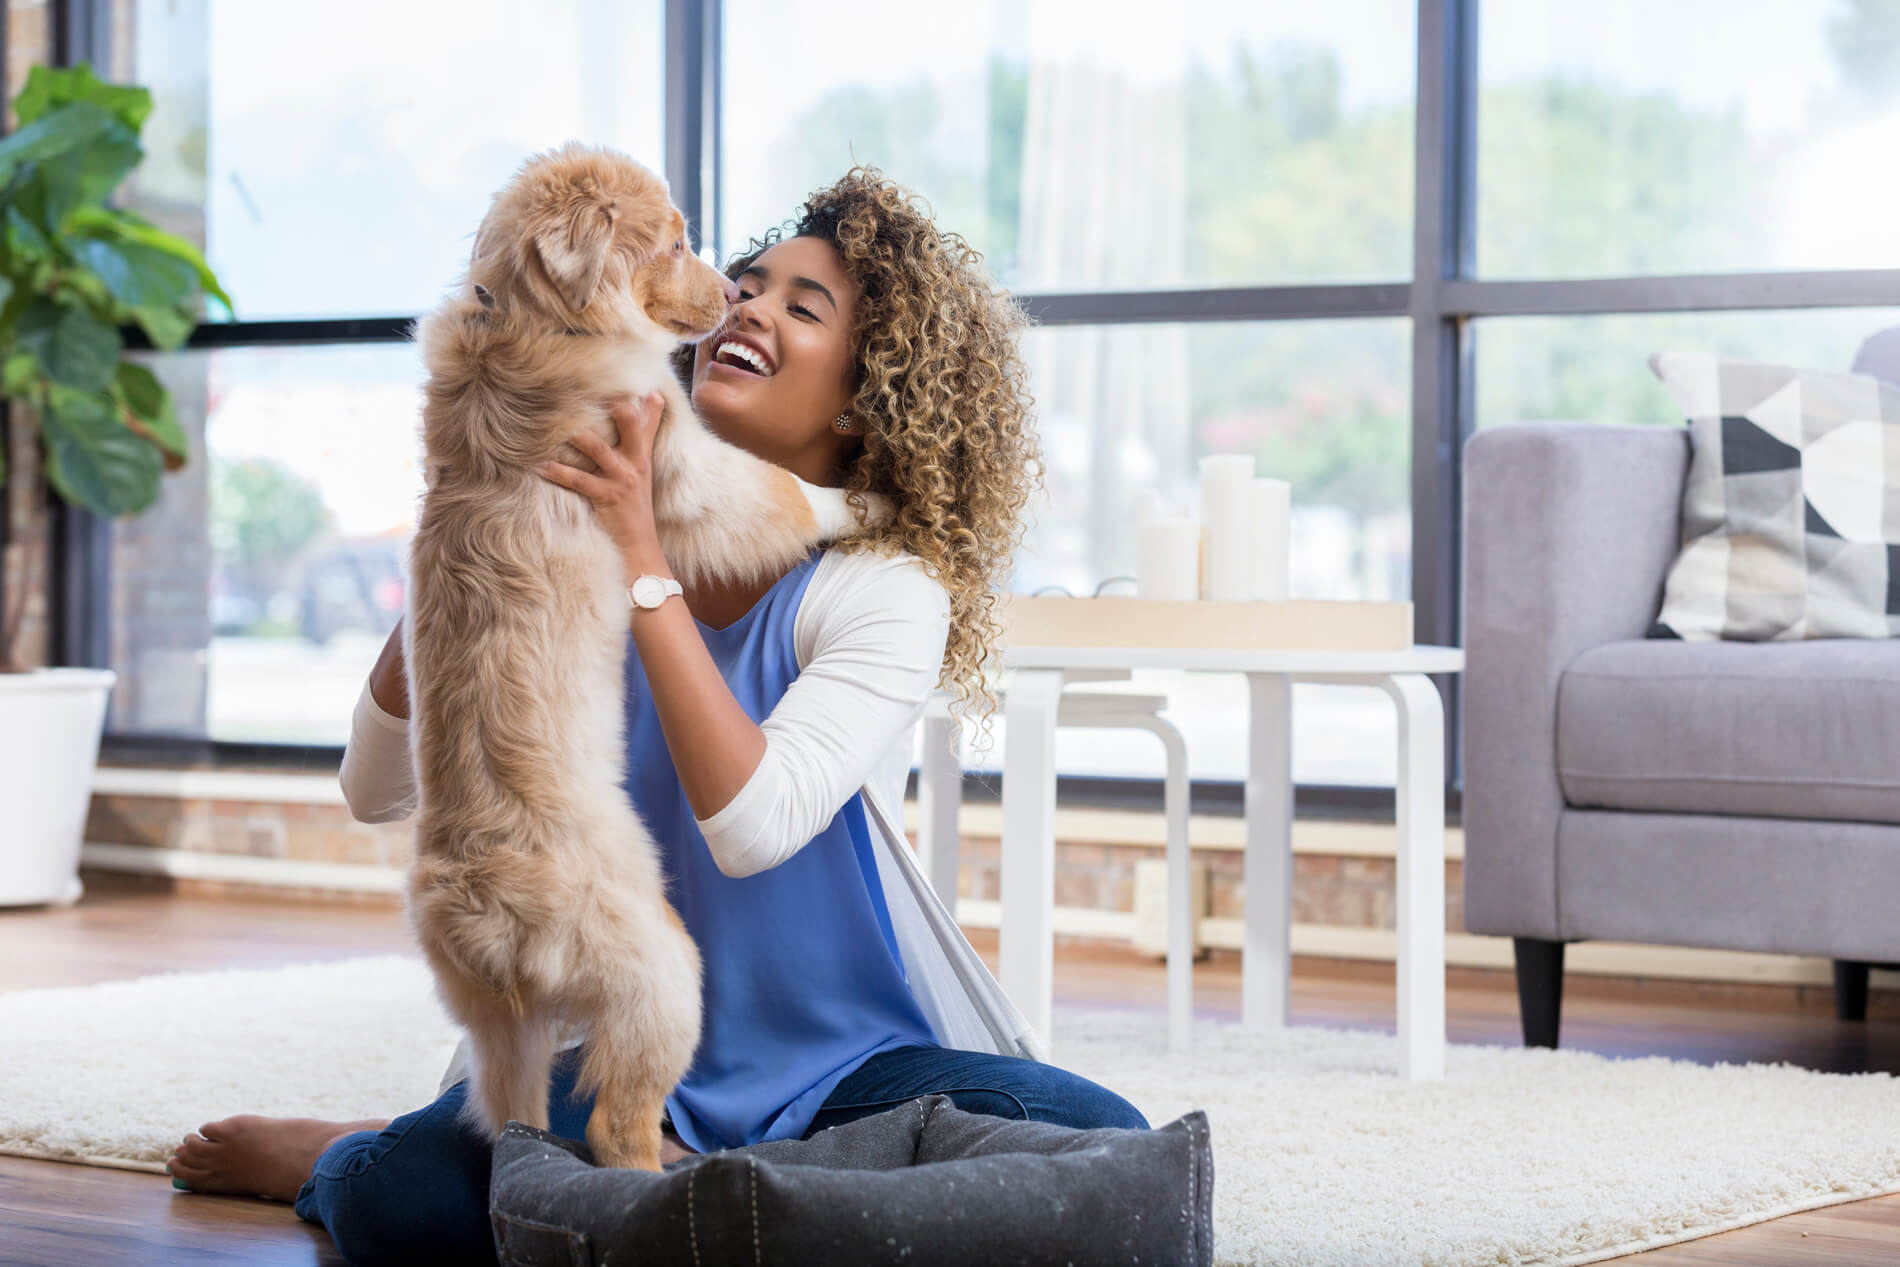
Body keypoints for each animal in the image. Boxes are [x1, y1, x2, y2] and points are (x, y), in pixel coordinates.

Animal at [406, 146, 874, 1170]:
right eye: (672, 240)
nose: (735, 294)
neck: (536, 320)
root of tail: (489, 908)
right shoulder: (683, 459)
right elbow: (783, 492)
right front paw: (864, 499)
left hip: (495, 1022)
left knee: (510, 1116)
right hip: (665, 972)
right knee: (618, 1120)